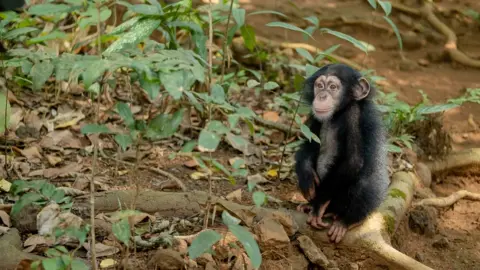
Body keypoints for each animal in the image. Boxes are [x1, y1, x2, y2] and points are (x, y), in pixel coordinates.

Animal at [292, 63, 390, 243]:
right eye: (319, 85)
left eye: (333, 87)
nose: (322, 96)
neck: (339, 113)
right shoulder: (315, 116)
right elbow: (309, 146)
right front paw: (307, 178)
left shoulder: (354, 117)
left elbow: (353, 161)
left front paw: (319, 204)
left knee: (364, 184)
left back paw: (346, 220)